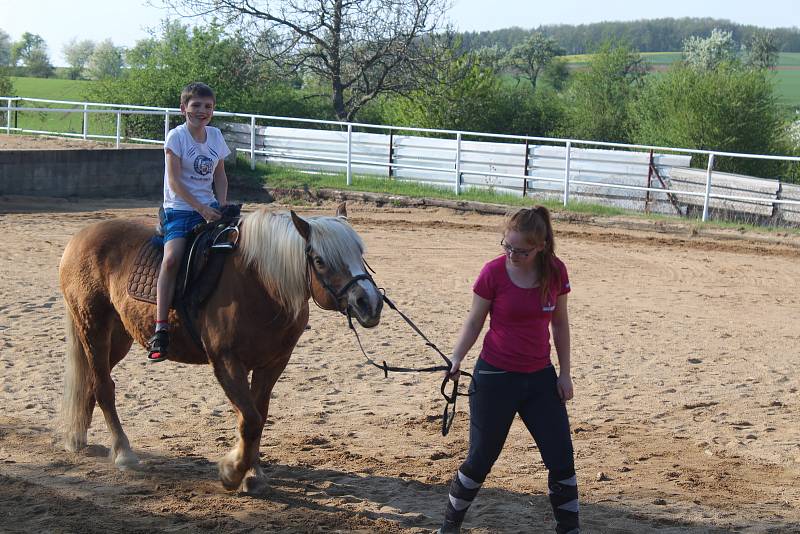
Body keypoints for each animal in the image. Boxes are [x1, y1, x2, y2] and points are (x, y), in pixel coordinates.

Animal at [57, 205, 382, 494]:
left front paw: (252, 473)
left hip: (118, 337)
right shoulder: (226, 361)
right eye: (319, 260)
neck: (258, 283)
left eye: (360, 254)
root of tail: (79, 238)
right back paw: (123, 452)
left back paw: (77, 438)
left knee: (91, 382)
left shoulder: (272, 363)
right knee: (103, 387)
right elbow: (249, 420)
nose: (369, 302)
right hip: (93, 328)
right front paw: (232, 472)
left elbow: (258, 416)